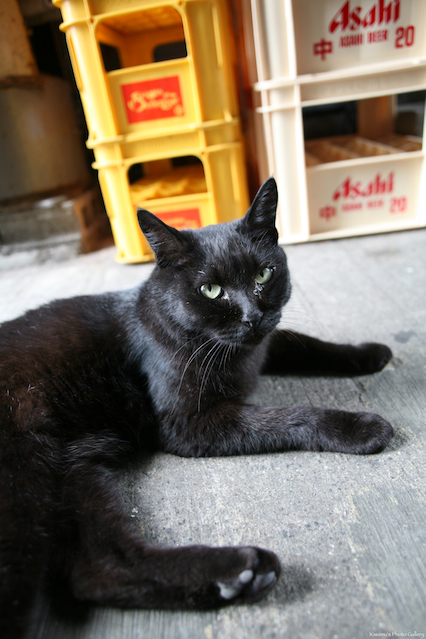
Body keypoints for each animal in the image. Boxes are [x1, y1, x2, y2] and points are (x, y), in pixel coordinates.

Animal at [0, 177, 393, 638]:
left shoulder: (266, 344)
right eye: (211, 290)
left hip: (75, 472)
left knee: (101, 567)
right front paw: (361, 426)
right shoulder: (190, 424)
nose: (252, 316)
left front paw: (369, 353)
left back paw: (239, 575)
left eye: (263, 274)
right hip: (24, 487)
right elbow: (288, 415)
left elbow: (309, 345)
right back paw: (240, 569)